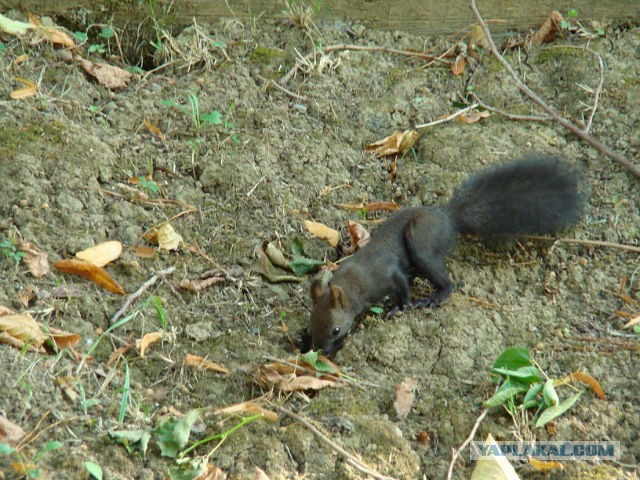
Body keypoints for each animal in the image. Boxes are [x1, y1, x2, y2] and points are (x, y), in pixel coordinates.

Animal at [308, 156, 584, 354]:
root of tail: (450, 218)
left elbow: (402, 286)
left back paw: (436, 296)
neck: (353, 283)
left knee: (446, 281)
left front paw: (400, 307)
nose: (323, 352)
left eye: (336, 329)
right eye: (311, 324)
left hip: (419, 240)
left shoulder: (386, 272)